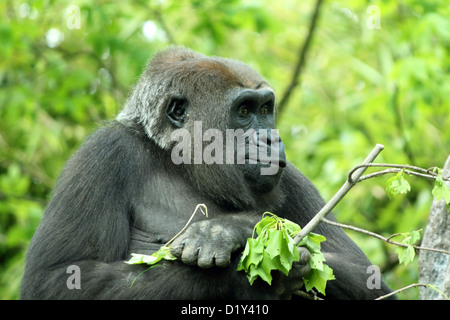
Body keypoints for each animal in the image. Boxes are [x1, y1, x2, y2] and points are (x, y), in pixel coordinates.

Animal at [21, 47, 394, 300]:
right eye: (243, 111)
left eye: (265, 109)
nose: (272, 138)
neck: (177, 161)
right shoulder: (103, 154)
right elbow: (60, 279)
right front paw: (239, 274)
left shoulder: (292, 179)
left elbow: (368, 278)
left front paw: (228, 229)